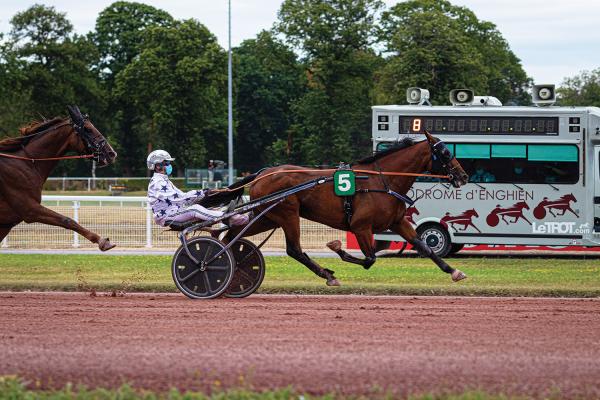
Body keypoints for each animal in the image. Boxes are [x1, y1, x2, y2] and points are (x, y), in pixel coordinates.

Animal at [0, 106, 118, 250]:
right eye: (87, 129)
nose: (111, 153)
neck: (28, 162)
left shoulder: (6, 223)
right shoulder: (29, 209)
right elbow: (67, 220)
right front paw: (102, 241)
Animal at [223, 133, 472, 286]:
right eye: (446, 153)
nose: (463, 176)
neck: (382, 181)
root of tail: (262, 173)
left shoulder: (397, 221)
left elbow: (424, 247)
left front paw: (454, 271)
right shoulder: (360, 226)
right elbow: (370, 259)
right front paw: (337, 247)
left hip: (267, 217)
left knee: (231, 235)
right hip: (287, 214)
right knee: (294, 250)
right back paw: (326, 274)